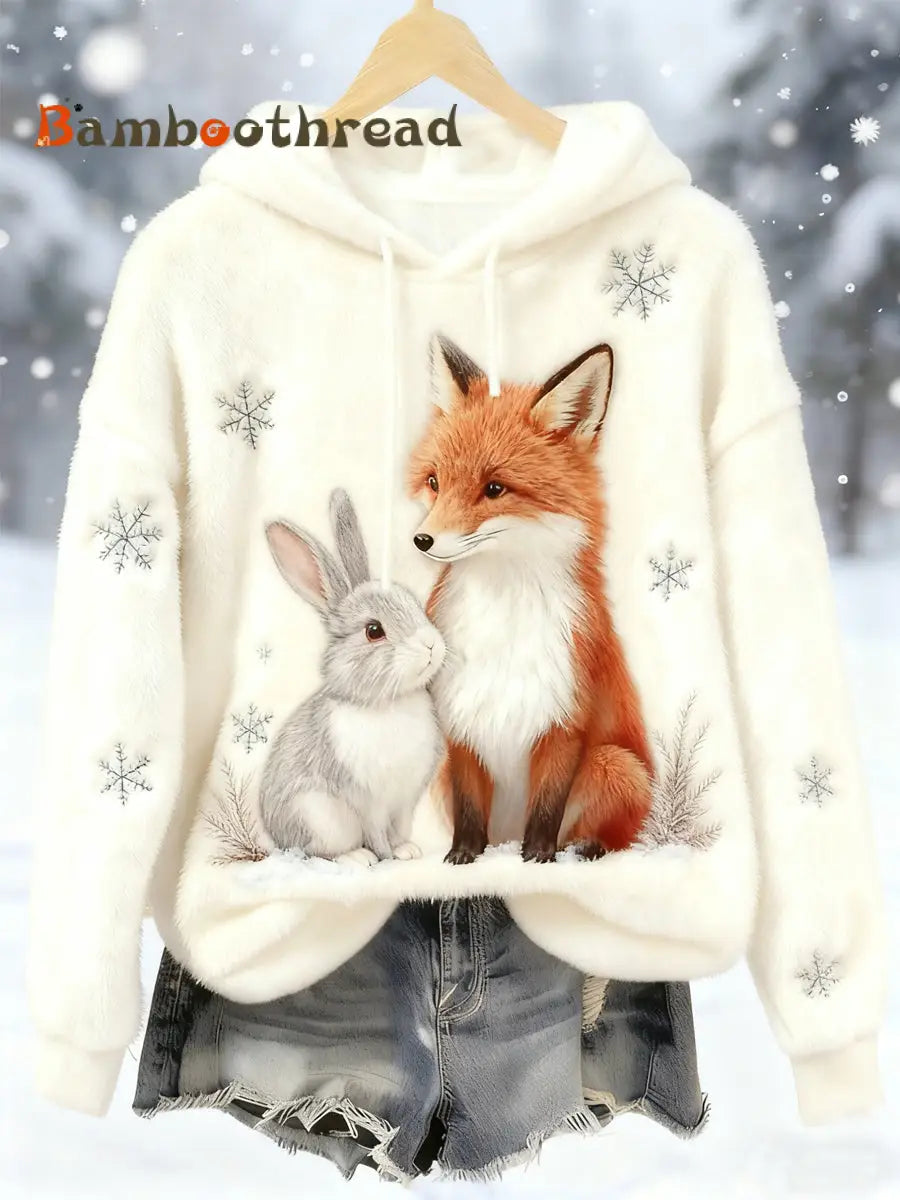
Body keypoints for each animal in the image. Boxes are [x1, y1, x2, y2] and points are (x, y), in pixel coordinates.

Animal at [259, 487, 446, 865]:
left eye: (413, 603)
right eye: (374, 631)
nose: (431, 645)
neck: (387, 704)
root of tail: (275, 837)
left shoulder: (405, 800)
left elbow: (398, 828)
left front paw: (407, 851)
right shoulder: (367, 799)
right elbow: (376, 832)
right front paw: (386, 857)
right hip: (319, 818)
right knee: (313, 852)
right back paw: (355, 858)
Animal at [407, 333, 654, 865]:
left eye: (495, 488)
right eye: (435, 482)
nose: (421, 540)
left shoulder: (564, 719)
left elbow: (546, 808)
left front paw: (538, 858)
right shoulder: (461, 719)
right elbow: (469, 807)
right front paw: (464, 856)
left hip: (613, 763)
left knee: (613, 834)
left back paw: (584, 848)